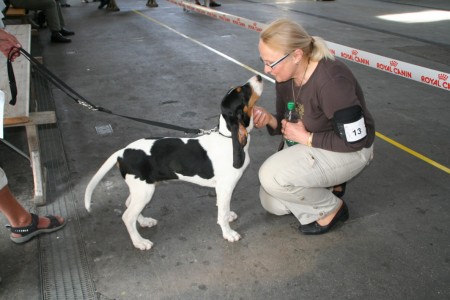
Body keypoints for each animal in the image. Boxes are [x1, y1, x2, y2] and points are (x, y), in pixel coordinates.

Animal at [83, 75, 264, 251]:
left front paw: (229, 215)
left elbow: (222, 208)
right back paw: (140, 242)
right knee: (127, 216)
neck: (227, 136)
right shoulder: (225, 187)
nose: (259, 76)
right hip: (144, 190)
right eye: (243, 91)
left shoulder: (222, 190)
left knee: (129, 205)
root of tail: (121, 152)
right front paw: (229, 234)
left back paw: (144, 221)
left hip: (142, 187)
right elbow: (222, 214)